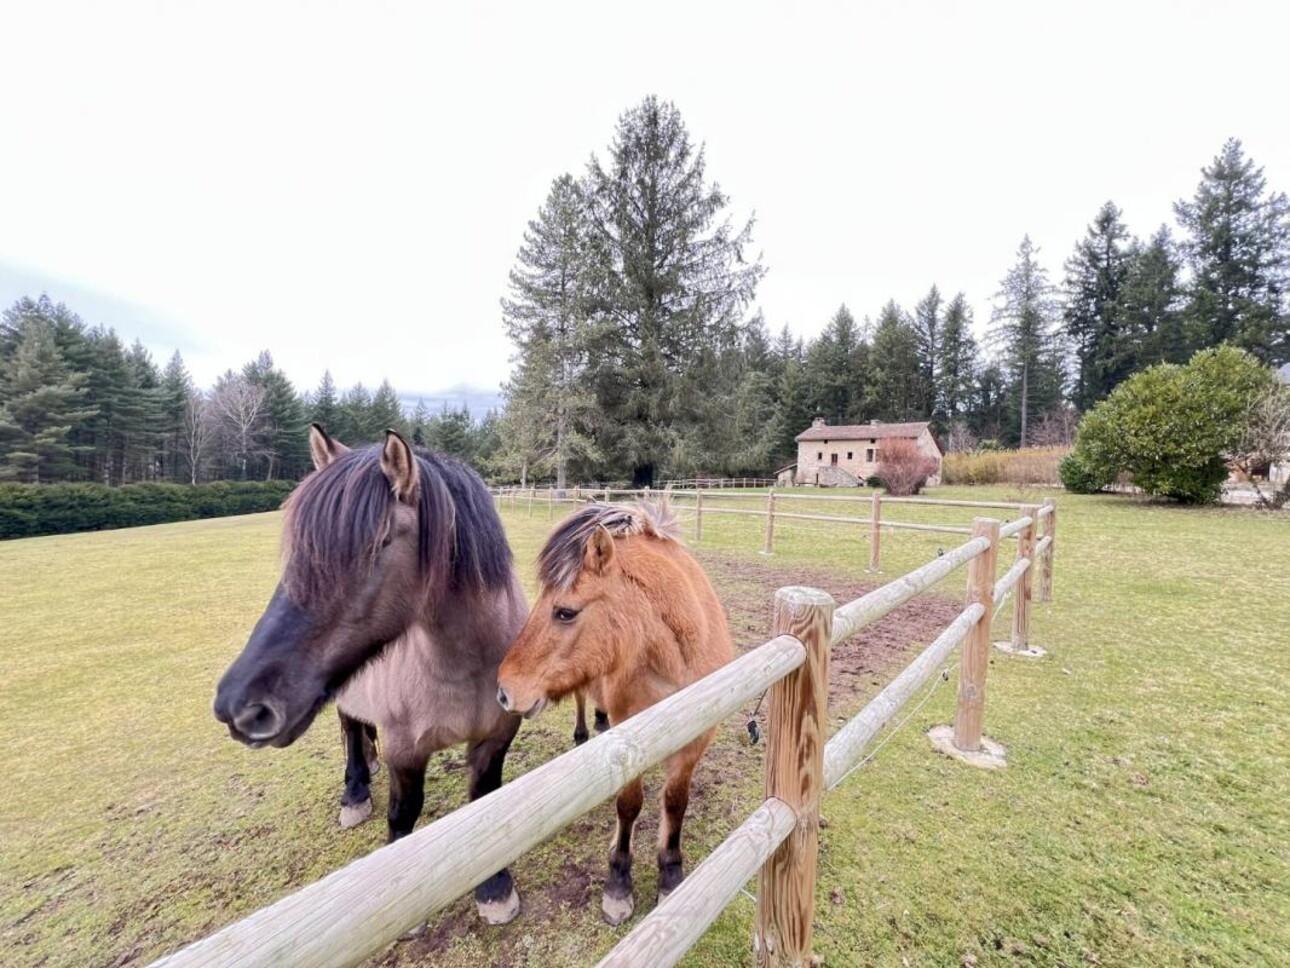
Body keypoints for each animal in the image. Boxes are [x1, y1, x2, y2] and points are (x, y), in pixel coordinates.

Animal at [214, 431, 526, 924]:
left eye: (378, 543)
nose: (239, 706)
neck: (465, 666)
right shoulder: (406, 751)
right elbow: (404, 813)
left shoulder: (497, 737)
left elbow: (484, 801)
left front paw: (494, 888)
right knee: (350, 727)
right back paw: (356, 791)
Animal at [495, 503, 732, 929]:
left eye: (565, 612)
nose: (504, 691)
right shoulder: (632, 740)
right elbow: (629, 804)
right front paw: (619, 882)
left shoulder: (694, 742)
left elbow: (675, 802)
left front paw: (671, 873)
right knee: (581, 702)